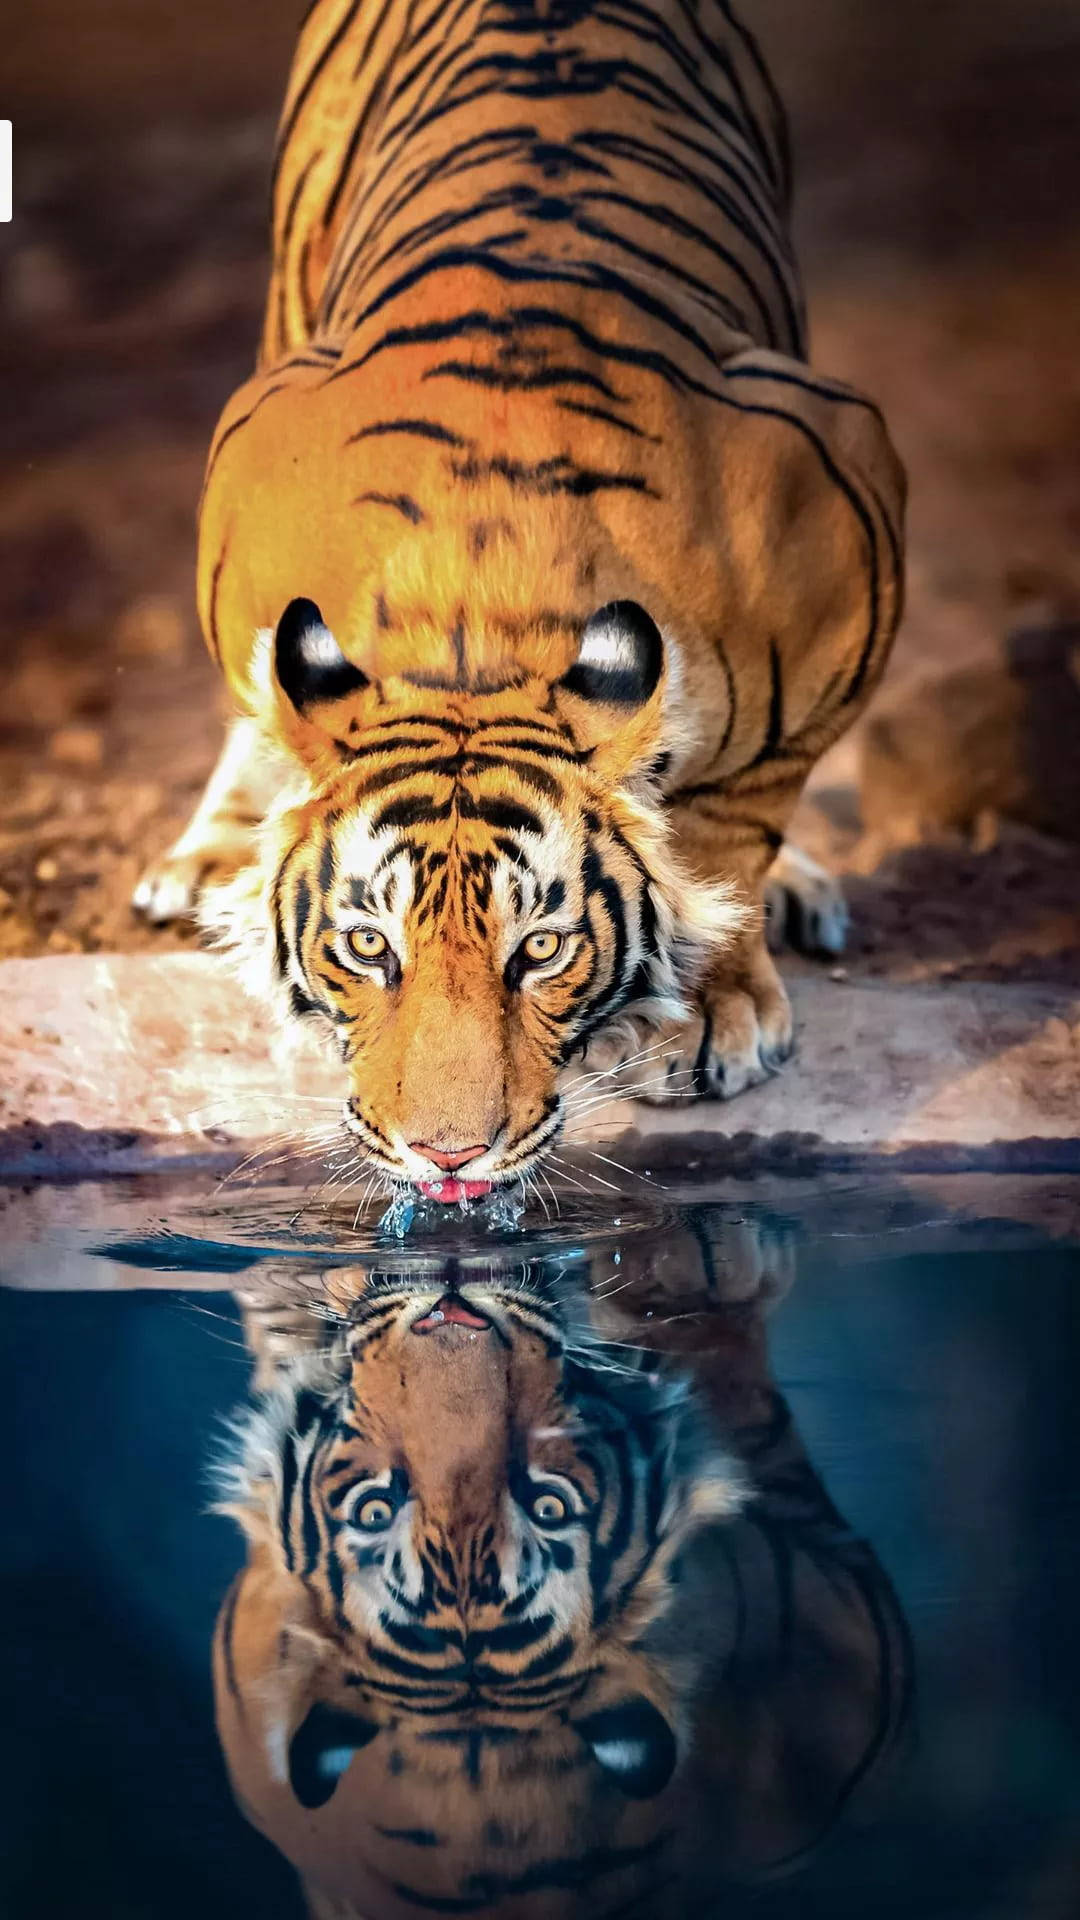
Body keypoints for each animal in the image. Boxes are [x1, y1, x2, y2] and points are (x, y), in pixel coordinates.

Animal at [138, 0, 903, 1198]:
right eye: (370, 946)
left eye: (539, 949)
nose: (445, 1155)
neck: (479, 625)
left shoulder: (847, 515)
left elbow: (731, 826)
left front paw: (708, 1006)